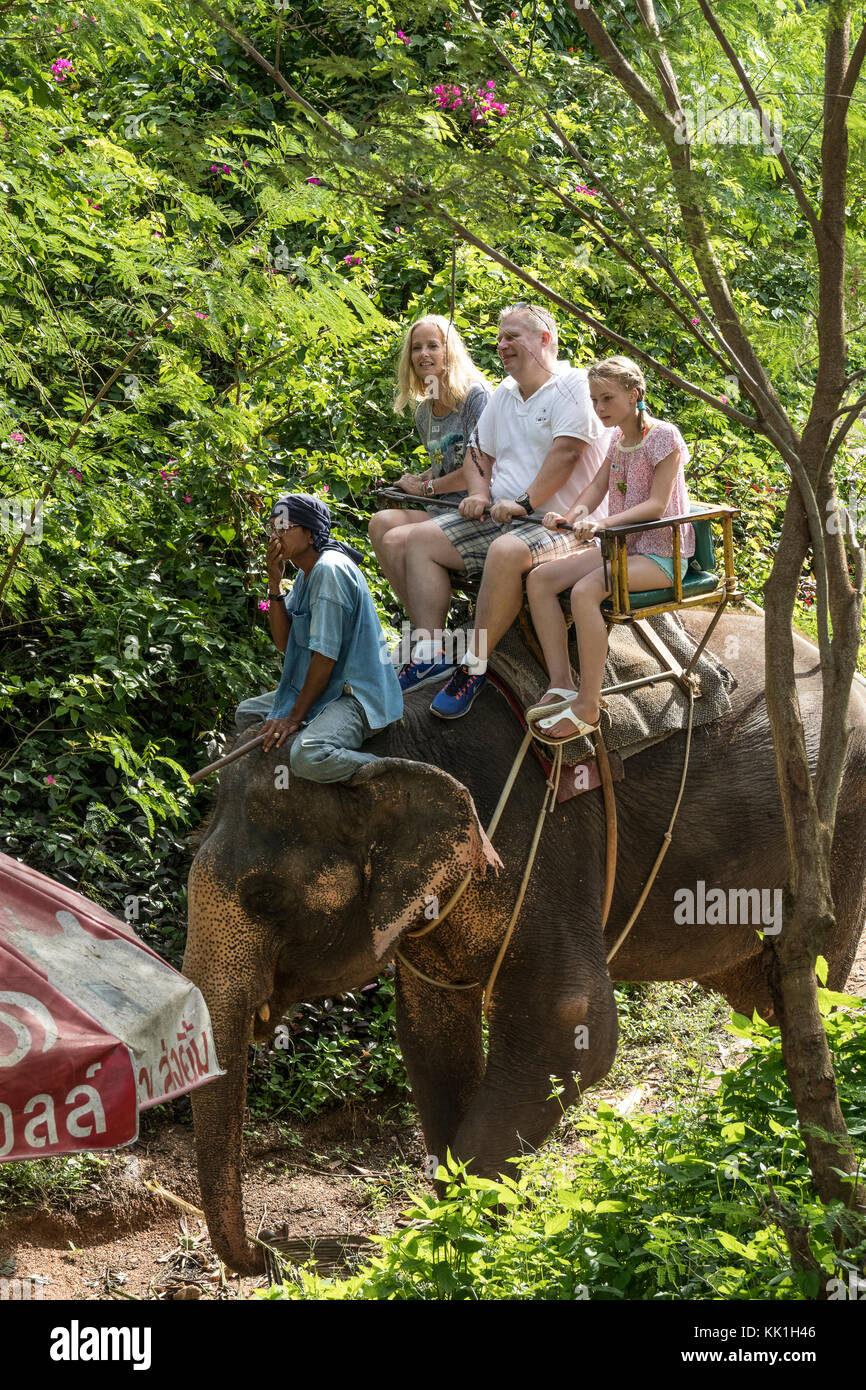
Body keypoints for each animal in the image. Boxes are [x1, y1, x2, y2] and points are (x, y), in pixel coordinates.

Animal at [183, 610, 866, 1274]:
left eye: (264, 897)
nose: (274, 1247)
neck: (391, 746)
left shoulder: (542, 846)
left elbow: (569, 1023)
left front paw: (455, 1244)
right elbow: (430, 1036)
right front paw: (462, 1230)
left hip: (837, 823)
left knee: (809, 975)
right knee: (760, 995)